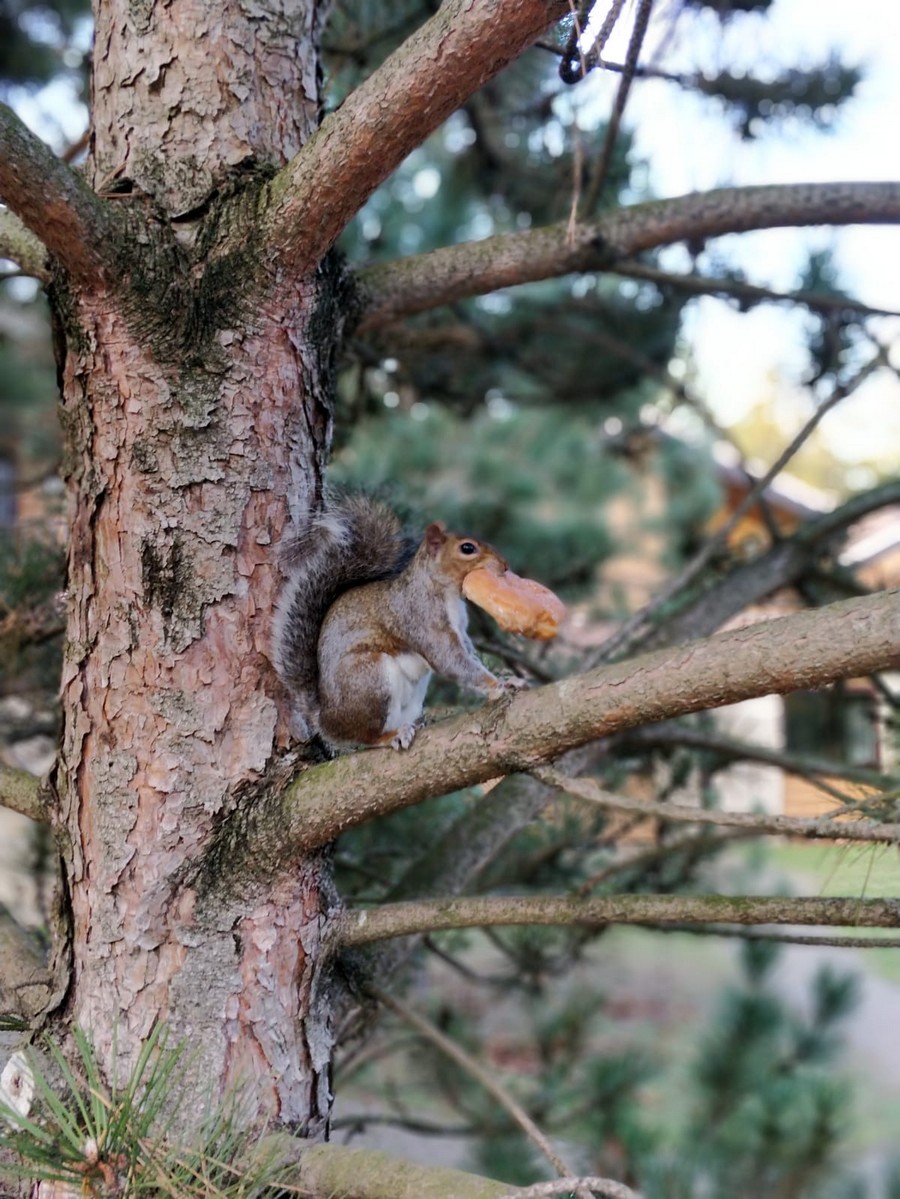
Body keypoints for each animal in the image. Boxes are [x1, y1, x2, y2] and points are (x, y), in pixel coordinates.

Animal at [270, 496, 524, 748]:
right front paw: (497, 686)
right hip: (370, 678)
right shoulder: (421, 617)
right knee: (367, 737)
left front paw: (506, 679)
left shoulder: (460, 629)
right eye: (467, 548)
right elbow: (451, 660)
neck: (445, 591)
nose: (504, 565)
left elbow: (468, 653)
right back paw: (390, 735)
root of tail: (326, 720)